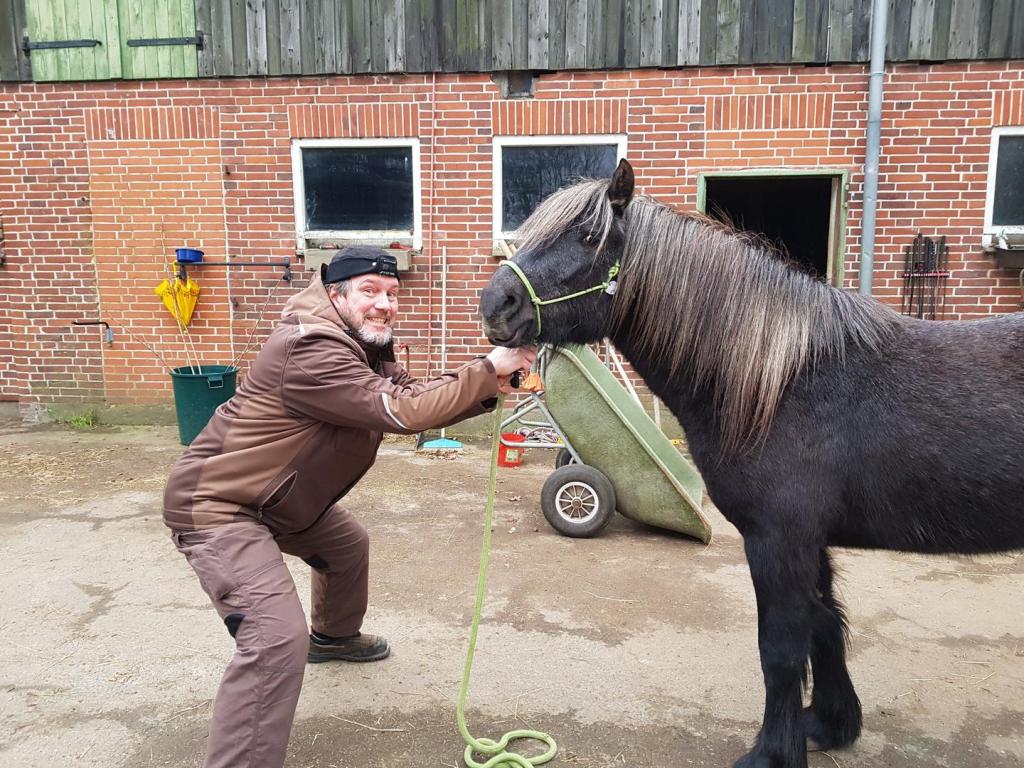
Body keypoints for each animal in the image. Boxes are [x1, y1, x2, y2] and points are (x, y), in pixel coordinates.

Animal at [479, 159, 1024, 768]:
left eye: (587, 236)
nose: (496, 306)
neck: (786, 382)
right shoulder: (809, 543)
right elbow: (825, 625)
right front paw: (829, 725)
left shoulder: (778, 539)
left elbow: (781, 650)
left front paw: (772, 752)